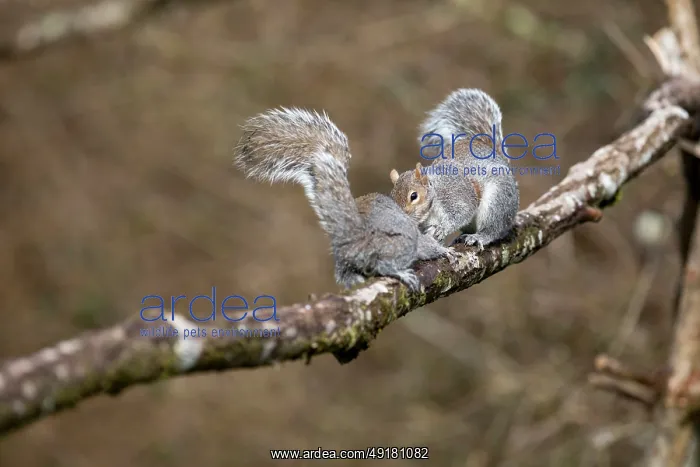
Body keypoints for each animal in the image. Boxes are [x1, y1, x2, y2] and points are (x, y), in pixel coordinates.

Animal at [232, 107, 457, 292]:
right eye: (414, 196)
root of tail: (352, 239)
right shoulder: (415, 236)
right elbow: (428, 246)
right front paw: (445, 251)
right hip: (398, 244)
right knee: (384, 264)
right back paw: (399, 272)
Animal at [389, 88, 520, 249]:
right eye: (392, 197)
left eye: (414, 196)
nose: (400, 220)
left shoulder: (454, 195)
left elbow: (463, 212)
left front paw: (444, 228)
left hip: (498, 201)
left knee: (493, 229)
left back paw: (479, 237)